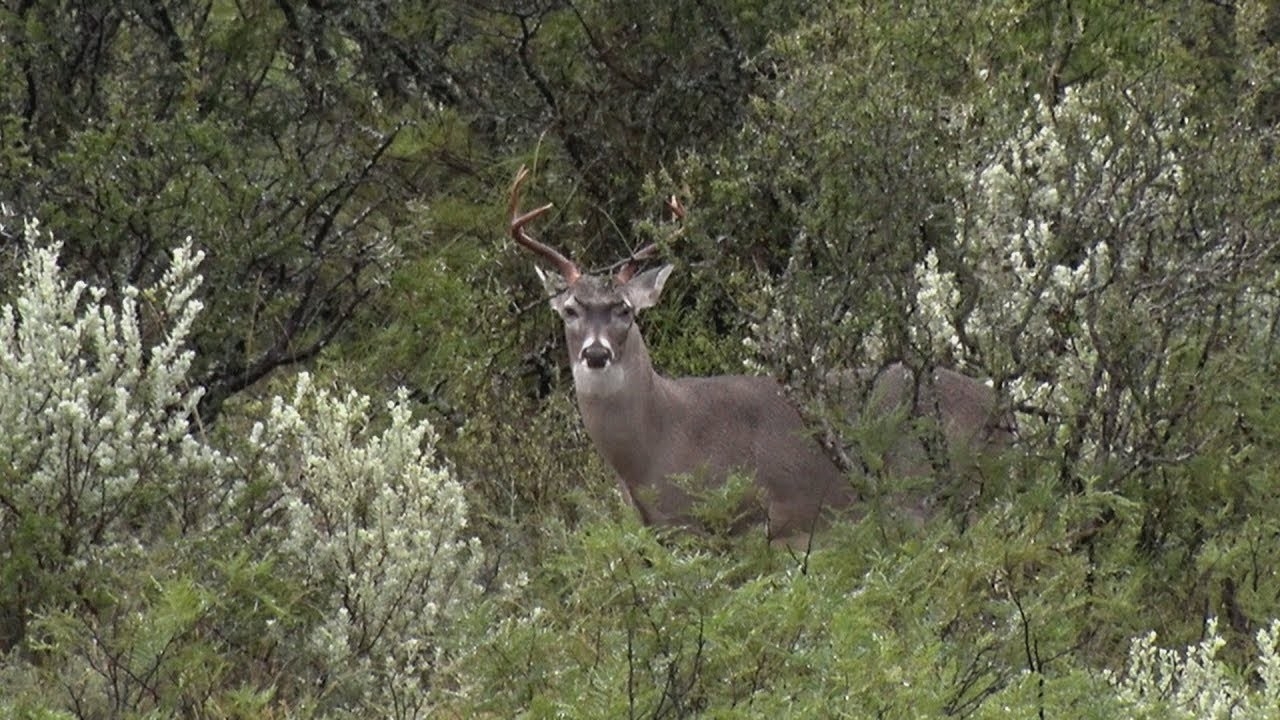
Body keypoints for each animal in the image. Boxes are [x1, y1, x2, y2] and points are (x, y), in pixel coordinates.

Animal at [504, 165, 1013, 540]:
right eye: (570, 309)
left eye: (624, 310)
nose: (595, 353)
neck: (656, 441)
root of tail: (1003, 414)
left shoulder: (740, 517)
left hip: (927, 489)